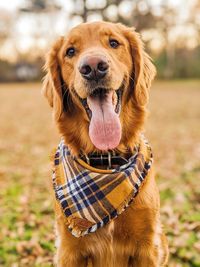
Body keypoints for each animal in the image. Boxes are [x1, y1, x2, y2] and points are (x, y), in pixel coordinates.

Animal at [42, 21, 169, 267]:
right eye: (70, 52)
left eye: (113, 43)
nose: (93, 67)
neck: (106, 158)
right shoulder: (69, 251)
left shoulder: (148, 247)